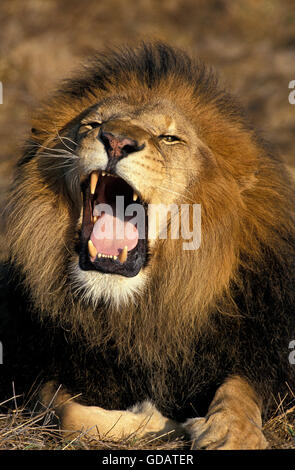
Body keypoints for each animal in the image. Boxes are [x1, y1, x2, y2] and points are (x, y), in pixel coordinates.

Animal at [0, 42, 295, 450]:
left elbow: (239, 391)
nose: (116, 141)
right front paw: (160, 421)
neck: (139, 312)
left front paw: (230, 435)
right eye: (93, 125)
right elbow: (67, 413)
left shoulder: (262, 350)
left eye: (170, 139)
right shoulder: (33, 368)